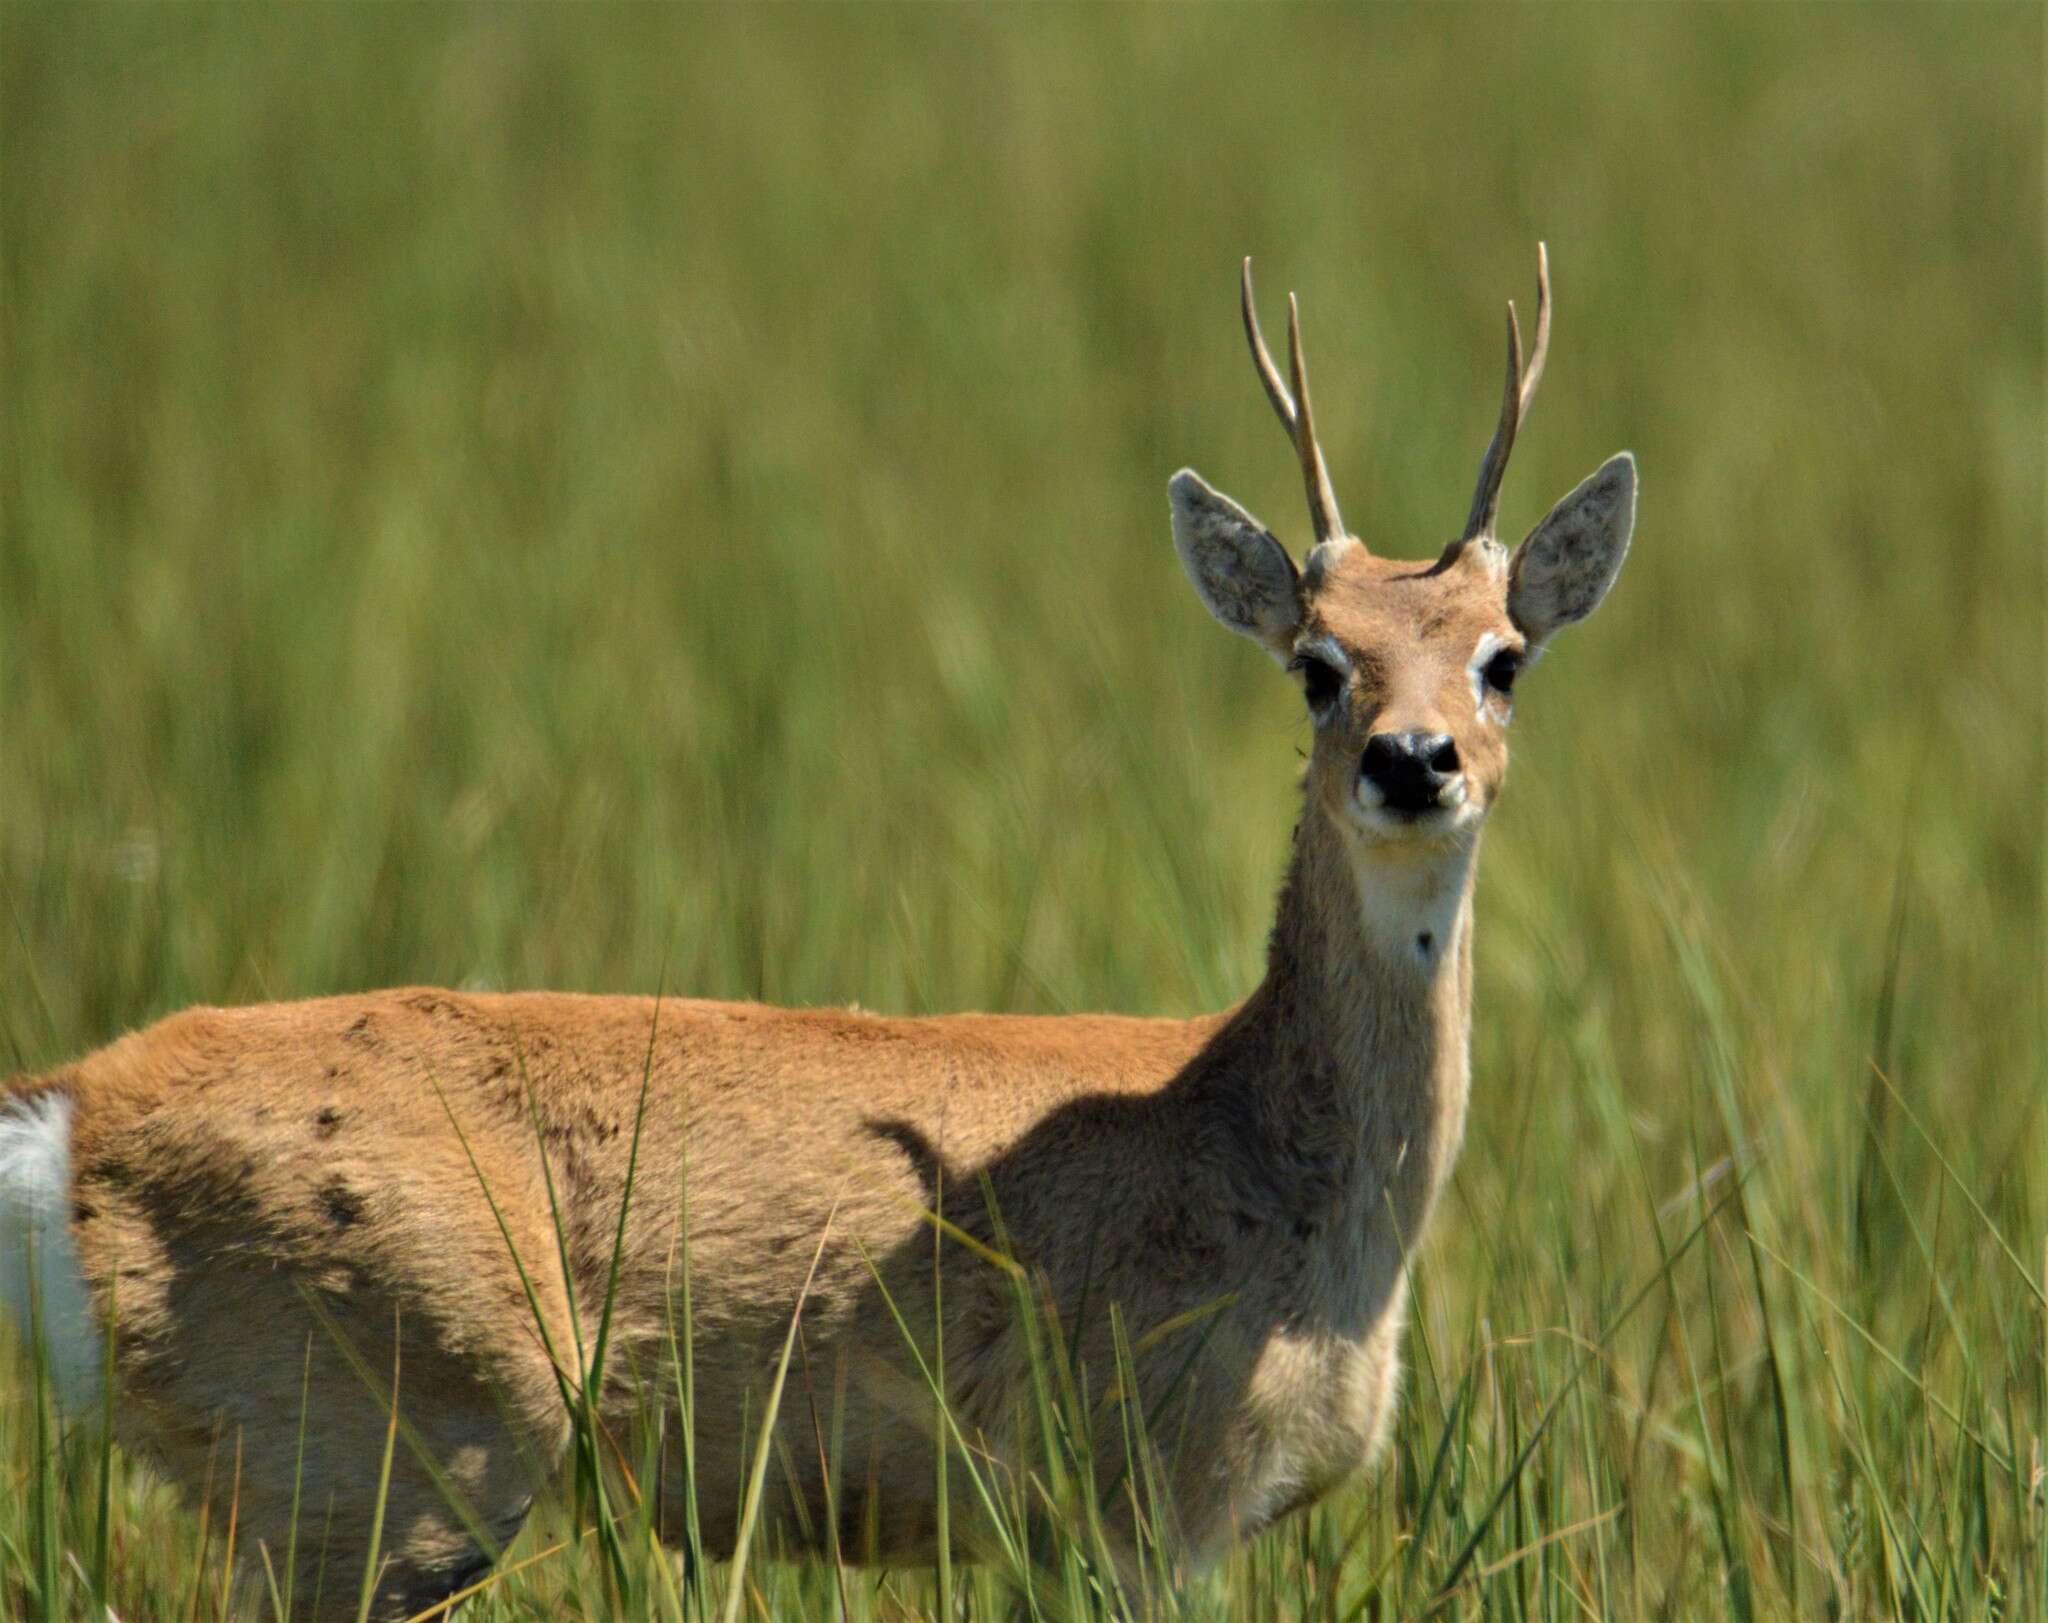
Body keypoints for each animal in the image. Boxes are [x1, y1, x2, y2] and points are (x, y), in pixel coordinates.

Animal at [0, 246, 1630, 1614]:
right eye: (1315, 661)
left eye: (1502, 657)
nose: (1412, 760)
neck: (1273, 1162)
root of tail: (71, 1113)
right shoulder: (1139, 1488)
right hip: (383, 1450)